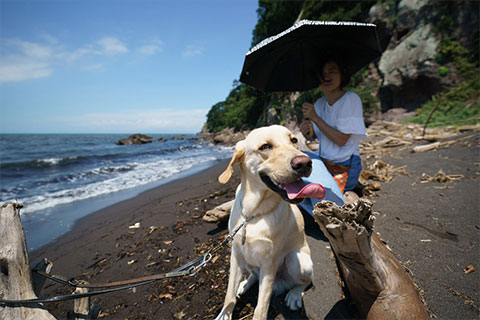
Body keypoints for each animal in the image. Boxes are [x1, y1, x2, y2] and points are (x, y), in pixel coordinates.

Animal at [217, 125, 326, 320]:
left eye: (293, 140)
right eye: (265, 147)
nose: (305, 163)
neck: (253, 213)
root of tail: (280, 284)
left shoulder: (270, 262)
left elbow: (261, 307)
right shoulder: (236, 254)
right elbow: (229, 293)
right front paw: (225, 313)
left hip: (297, 259)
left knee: (305, 282)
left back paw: (294, 295)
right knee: (253, 275)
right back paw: (245, 284)